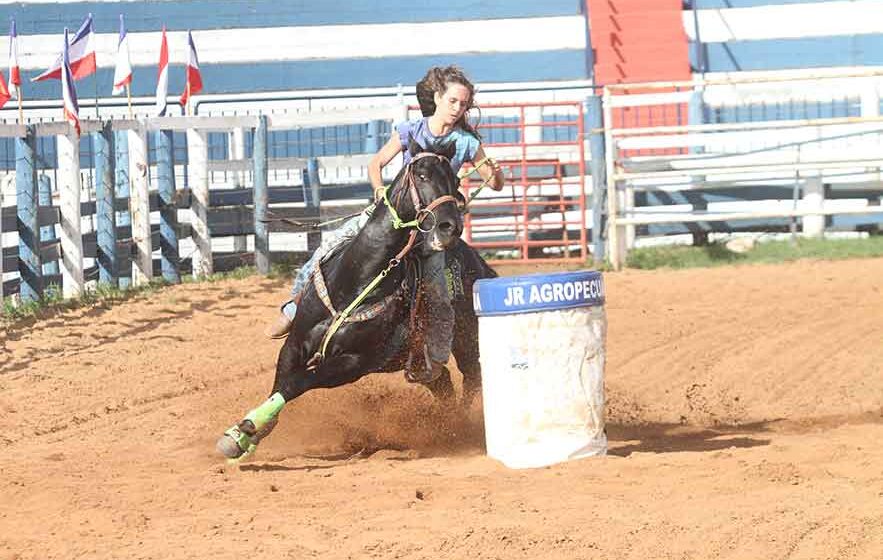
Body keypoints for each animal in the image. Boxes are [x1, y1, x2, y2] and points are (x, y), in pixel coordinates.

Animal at [218, 140, 498, 460]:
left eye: (455, 181)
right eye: (422, 175)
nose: (450, 227)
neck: (353, 282)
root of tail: (481, 265)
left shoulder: (353, 364)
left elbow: (296, 383)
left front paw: (249, 428)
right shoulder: (294, 344)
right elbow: (280, 383)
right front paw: (244, 435)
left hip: (466, 343)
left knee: (472, 379)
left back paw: (459, 427)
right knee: (444, 383)